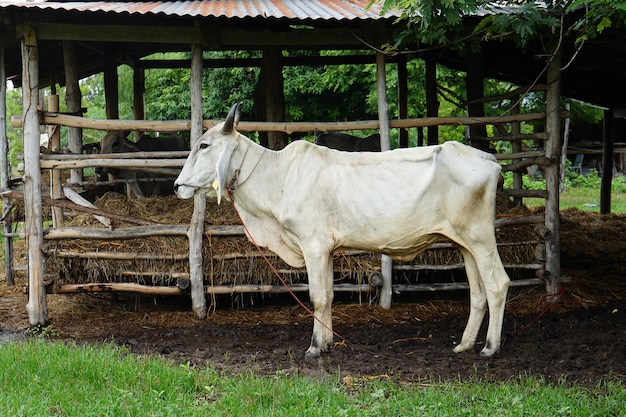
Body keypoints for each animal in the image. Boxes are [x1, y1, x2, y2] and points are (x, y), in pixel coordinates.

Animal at [173, 103, 510, 358]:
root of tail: (487, 158)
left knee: (497, 284)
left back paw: (490, 347)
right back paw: (464, 344)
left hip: (481, 238)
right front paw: (327, 342)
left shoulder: (313, 245)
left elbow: (318, 297)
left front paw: (314, 348)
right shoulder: (327, 250)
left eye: (204, 145)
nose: (177, 186)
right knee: (478, 291)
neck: (277, 176)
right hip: (464, 243)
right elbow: (330, 295)